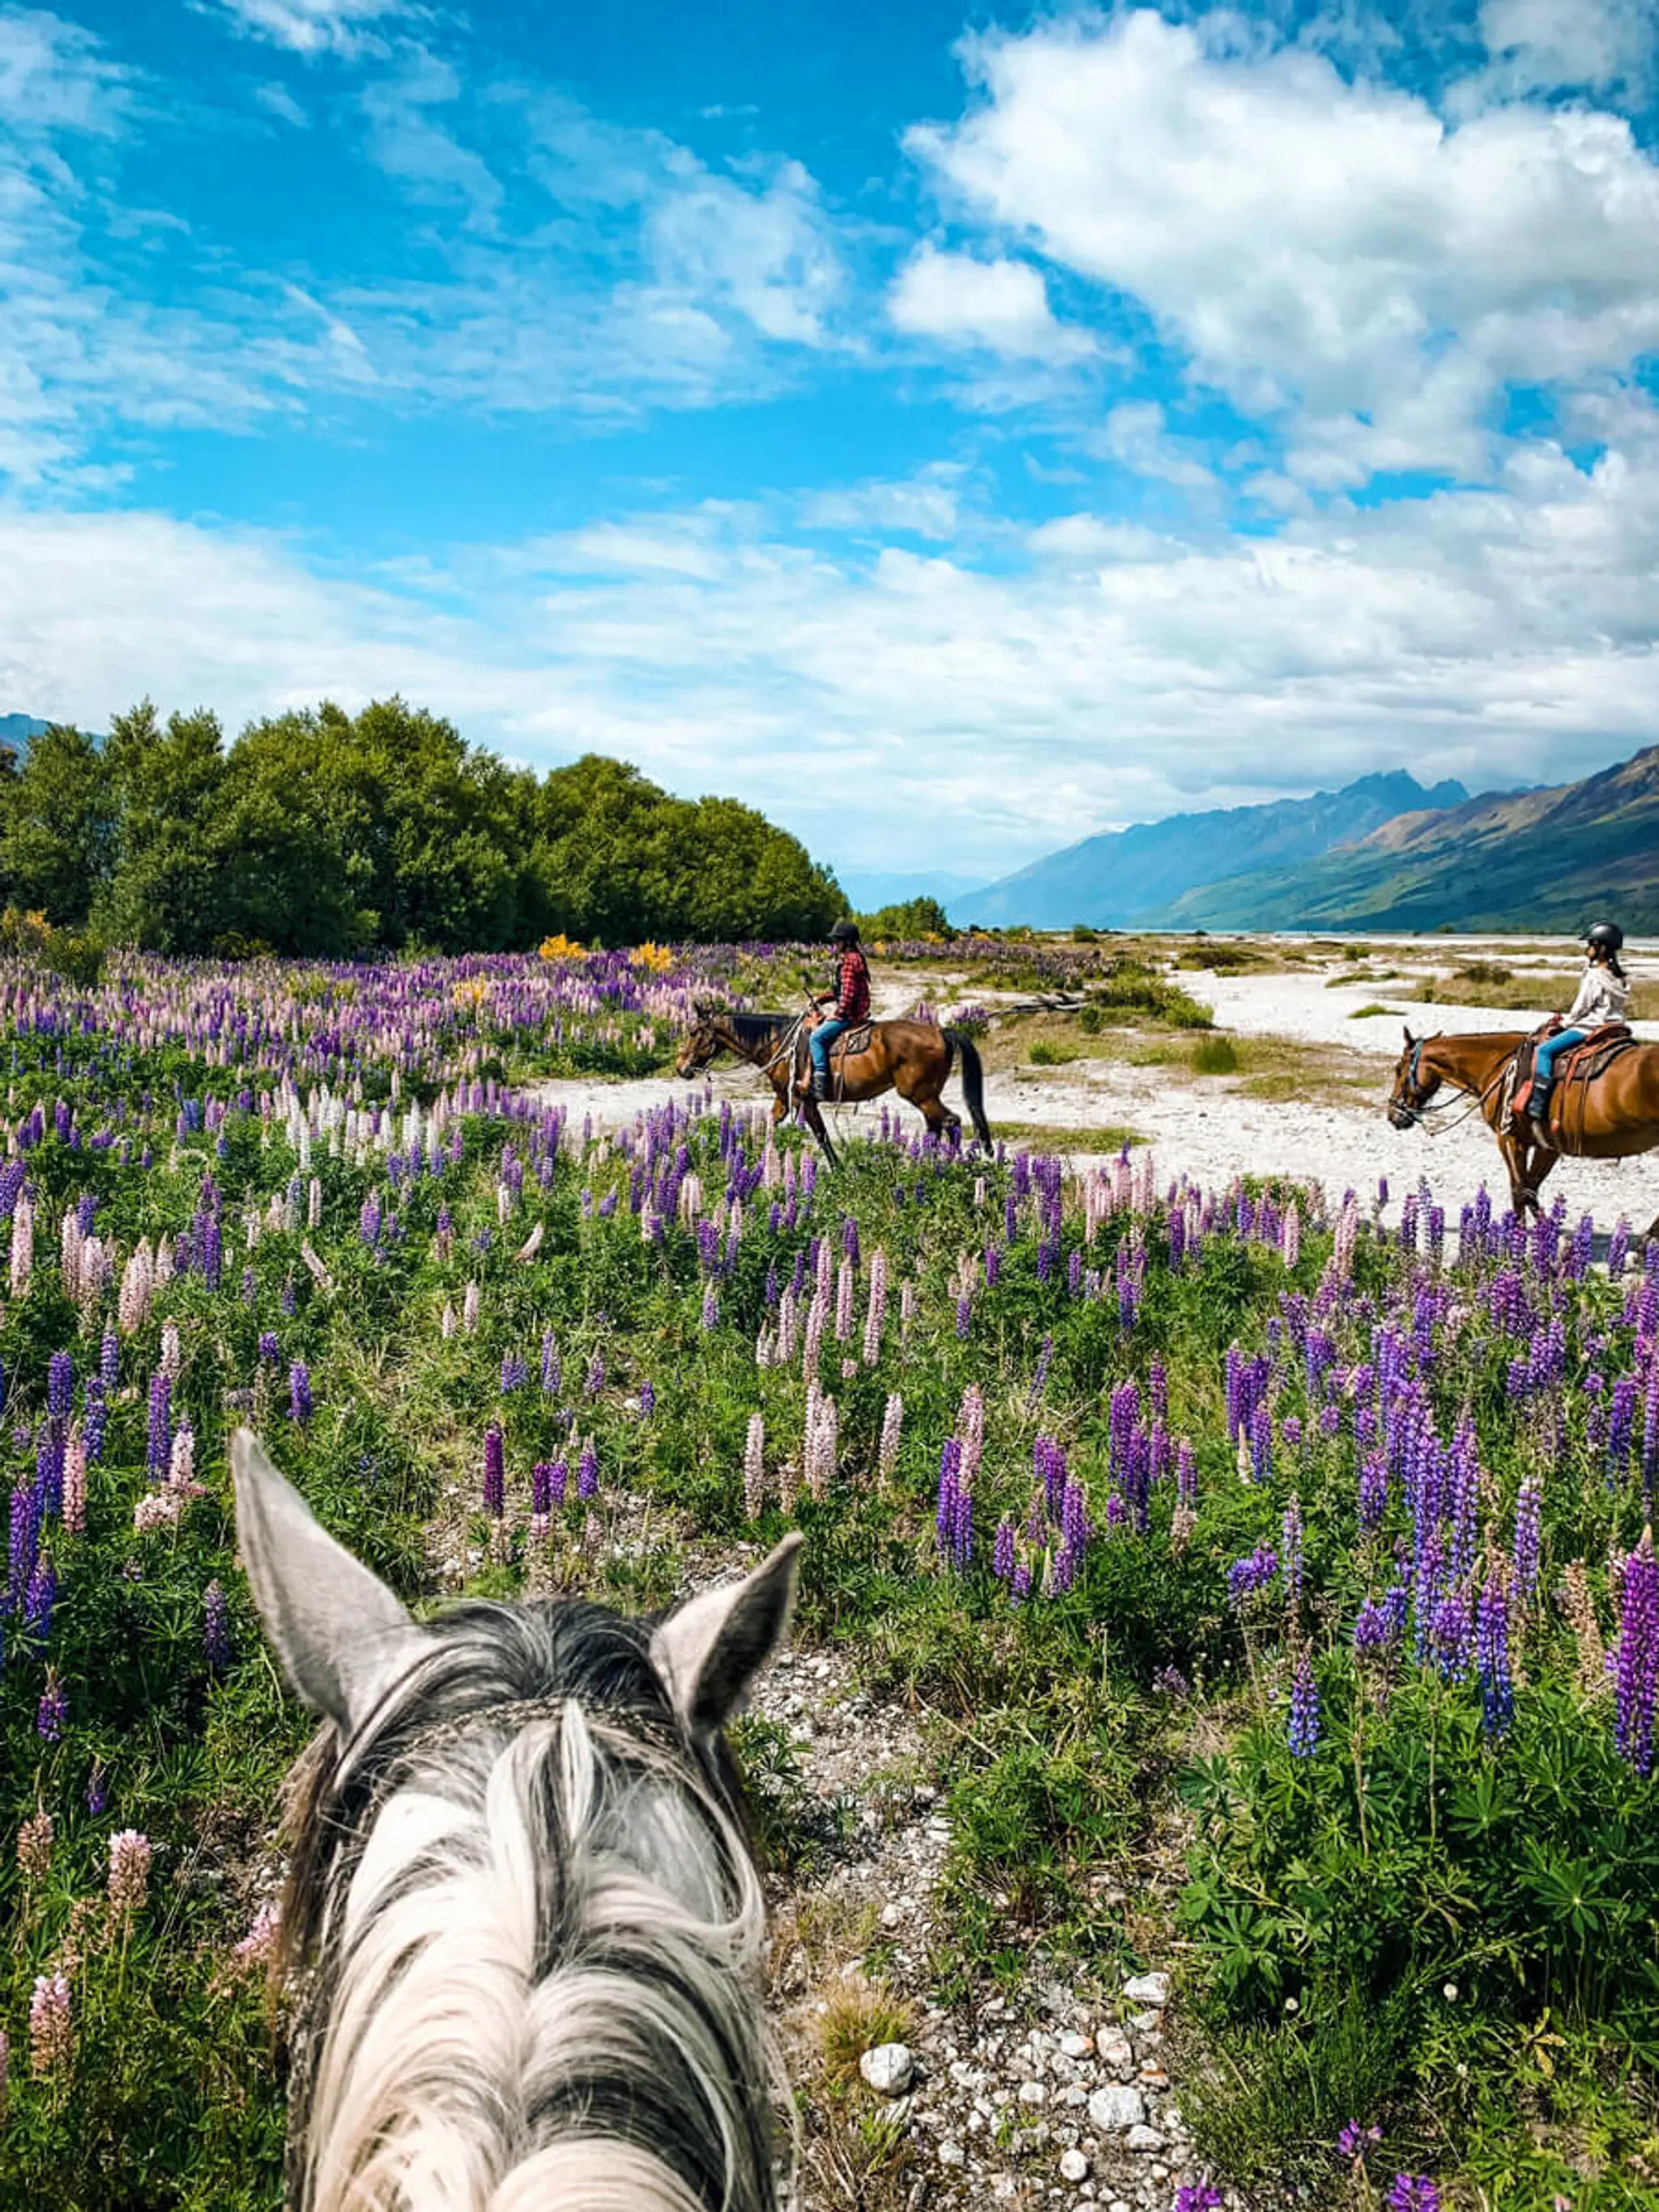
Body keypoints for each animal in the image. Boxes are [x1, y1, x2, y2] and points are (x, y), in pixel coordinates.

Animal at [674, 1006, 993, 1166]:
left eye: (694, 1032)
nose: (681, 1067)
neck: (780, 1043)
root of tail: (940, 1031)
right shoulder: (785, 1099)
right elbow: (769, 1124)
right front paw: (752, 1156)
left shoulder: (804, 1100)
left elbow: (822, 1136)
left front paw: (837, 1170)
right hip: (926, 1096)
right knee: (937, 1126)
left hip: (921, 1095)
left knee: (951, 1122)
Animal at [1387, 1025, 1659, 1234]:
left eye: (1399, 1069)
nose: (1393, 1115)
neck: (1499, 1066)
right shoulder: (1547, 1146)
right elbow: (1530, 1190)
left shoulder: (1510, 1139)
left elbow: (1520, 1192)